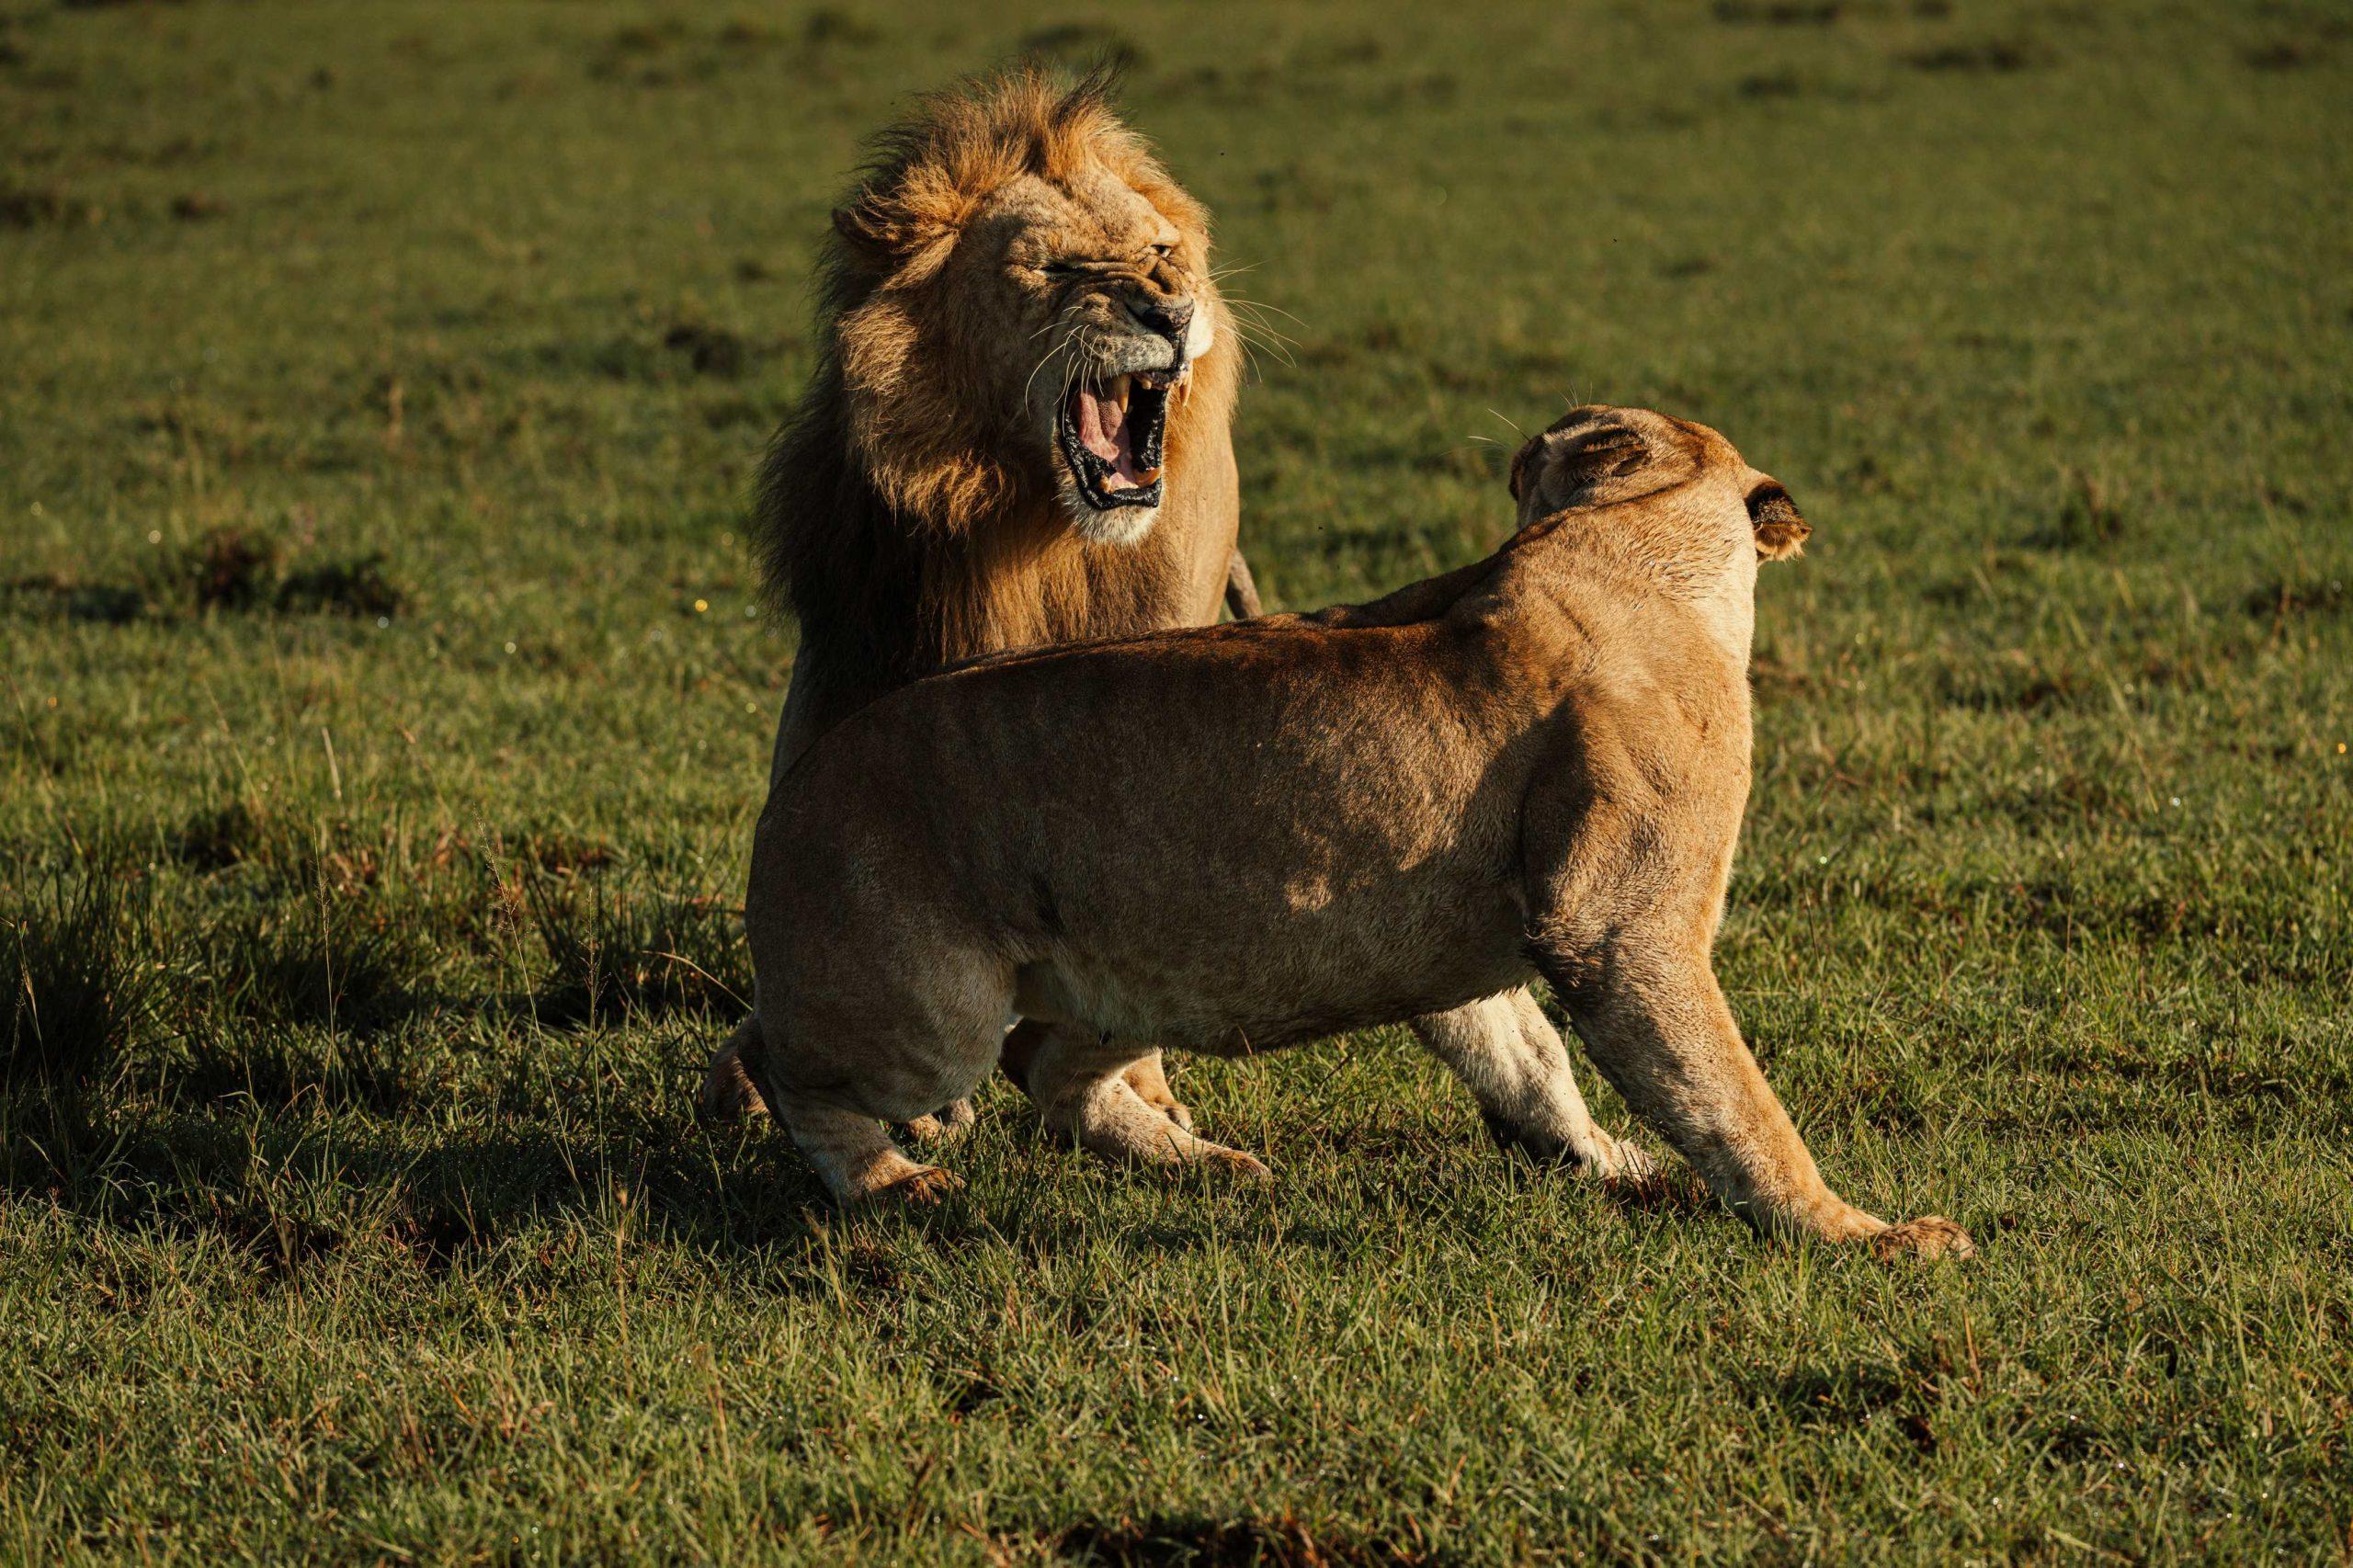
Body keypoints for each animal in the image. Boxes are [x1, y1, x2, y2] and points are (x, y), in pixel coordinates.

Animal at [729, 404, 1967, 1261]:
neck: (1626, 546)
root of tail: (794, 786)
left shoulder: (1461, 947)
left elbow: (1529, 1061)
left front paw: (1603, 1158)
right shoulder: (1617, 928)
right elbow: (1731, 1099)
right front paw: (1859, 1233)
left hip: (1125, 980)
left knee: (1052, 1074)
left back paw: (1208, 1165)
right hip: (929, 1015)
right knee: (777, 1059)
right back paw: (889, 1182)